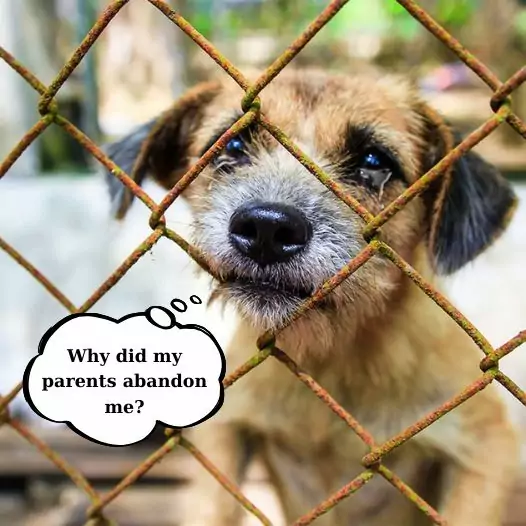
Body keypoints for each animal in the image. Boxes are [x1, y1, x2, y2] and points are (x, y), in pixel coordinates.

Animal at [105, 70, 520, 526]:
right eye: (233, 146)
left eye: (374, 162)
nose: (267, 229)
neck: (329, 357)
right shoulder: (226, 429)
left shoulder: (487, 449)